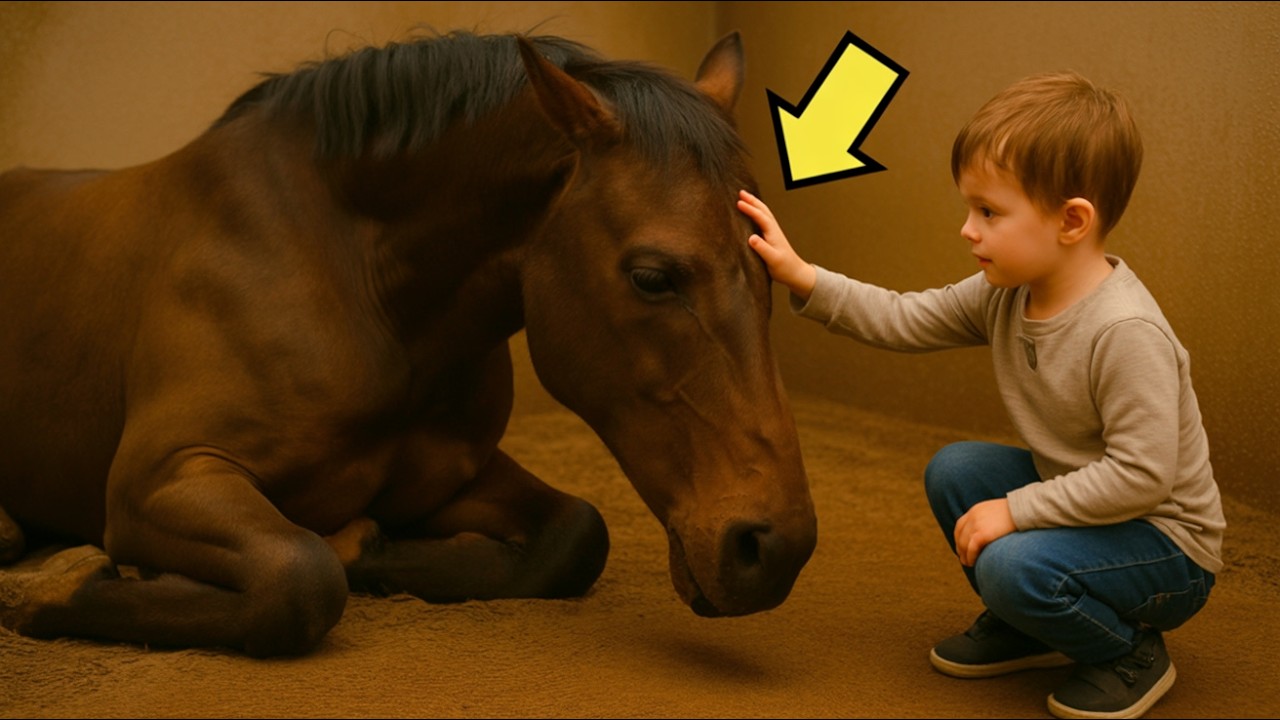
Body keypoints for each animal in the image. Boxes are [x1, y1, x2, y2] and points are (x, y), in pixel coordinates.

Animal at [0, 29, 817, 657]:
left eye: (767, 260)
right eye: (652, 277)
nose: (776, 549)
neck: (360, 284)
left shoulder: (457, 476)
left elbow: (576, 536)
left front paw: (367, 544)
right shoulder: (160, 481)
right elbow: (299, 575)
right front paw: (50, 585)